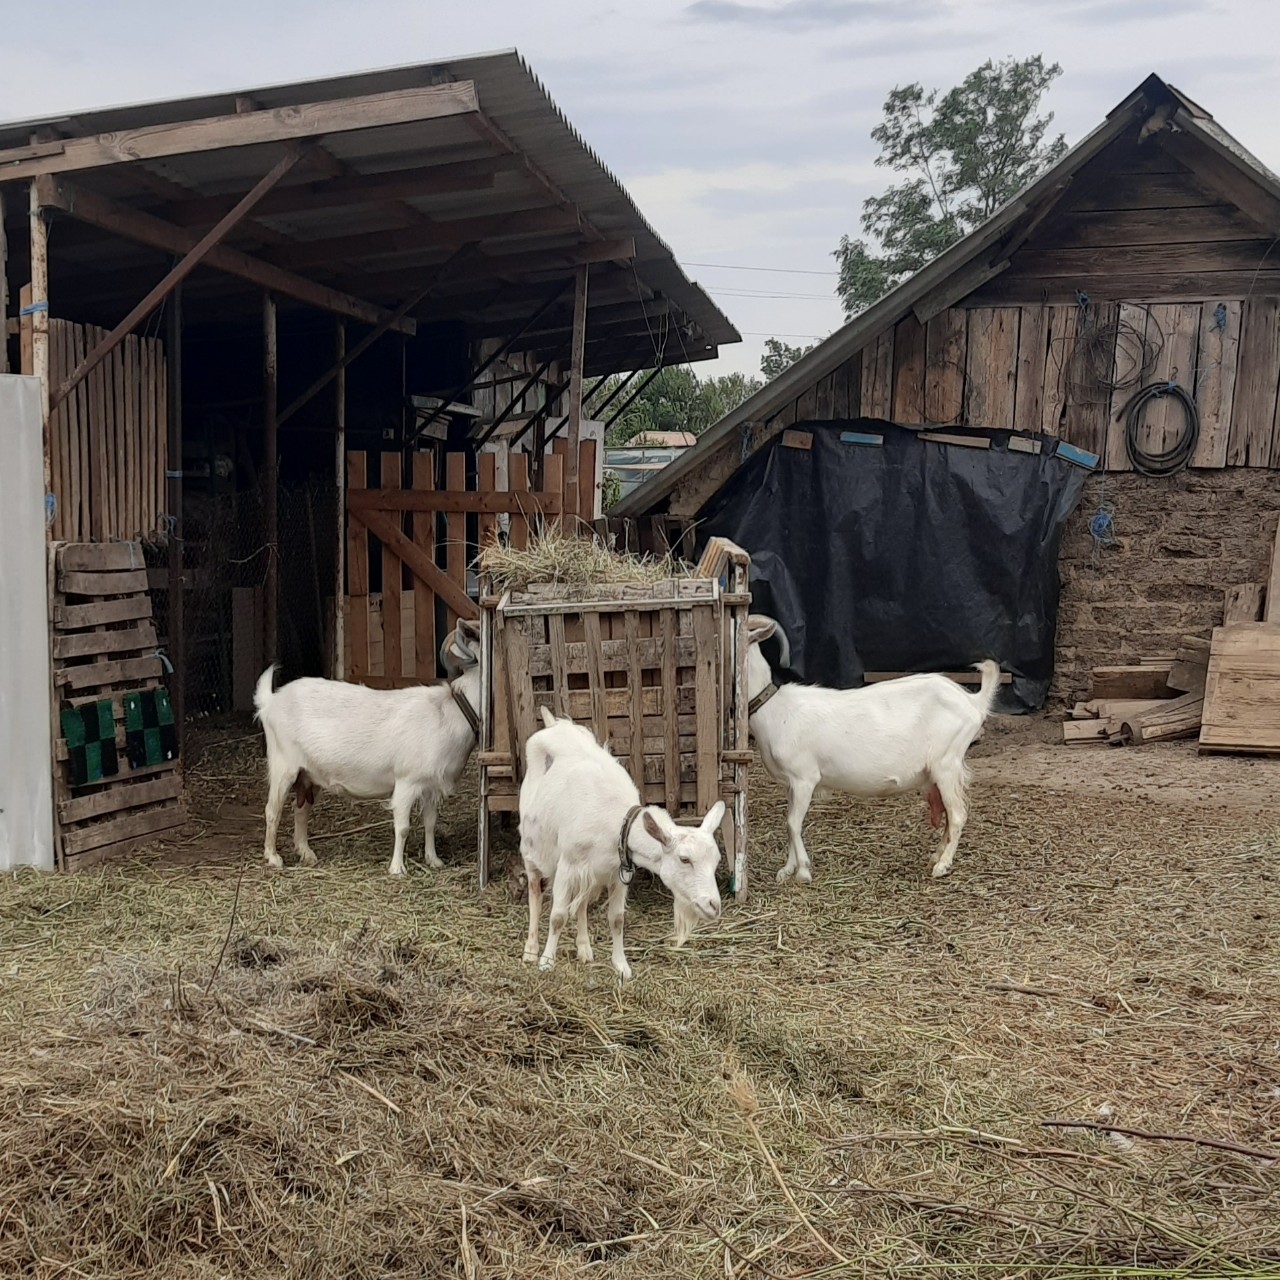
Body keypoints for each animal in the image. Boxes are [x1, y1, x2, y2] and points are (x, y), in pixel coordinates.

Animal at [253, 619, 482, 876]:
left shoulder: (432, 785)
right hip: (283, 766)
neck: (452, 712)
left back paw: (307, 854)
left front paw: (434, 860)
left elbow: (431, 823)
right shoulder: (406, 781)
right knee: (272, 810)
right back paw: (273, 857)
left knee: (300, 809)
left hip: (309, 775)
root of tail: (270, 701)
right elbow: (403, 827)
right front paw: (397, 868)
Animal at [519, 706, 724, 979]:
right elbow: (558, 916)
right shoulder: (567, 866)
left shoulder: (617, 873)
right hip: (531, 849)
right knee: (535, 892)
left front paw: (622, 966)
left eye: (716, 862)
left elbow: (617, 919)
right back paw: (531, 950)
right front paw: (546, 962)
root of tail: (554, 724)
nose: (714, 906)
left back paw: (584, 949)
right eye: (684, 859)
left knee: (581, 904)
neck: (614, 822)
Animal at [745, 614, 1000, 883]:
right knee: (949, 816)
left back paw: (942, 866)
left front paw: (803, 872)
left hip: (947, 763)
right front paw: (787, 869)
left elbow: (793, 823)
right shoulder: (791, 784)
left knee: (958, 814)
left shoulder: (804, 777)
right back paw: (936, 856)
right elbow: (789, 822)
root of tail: (973, 702)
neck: (775, 710)